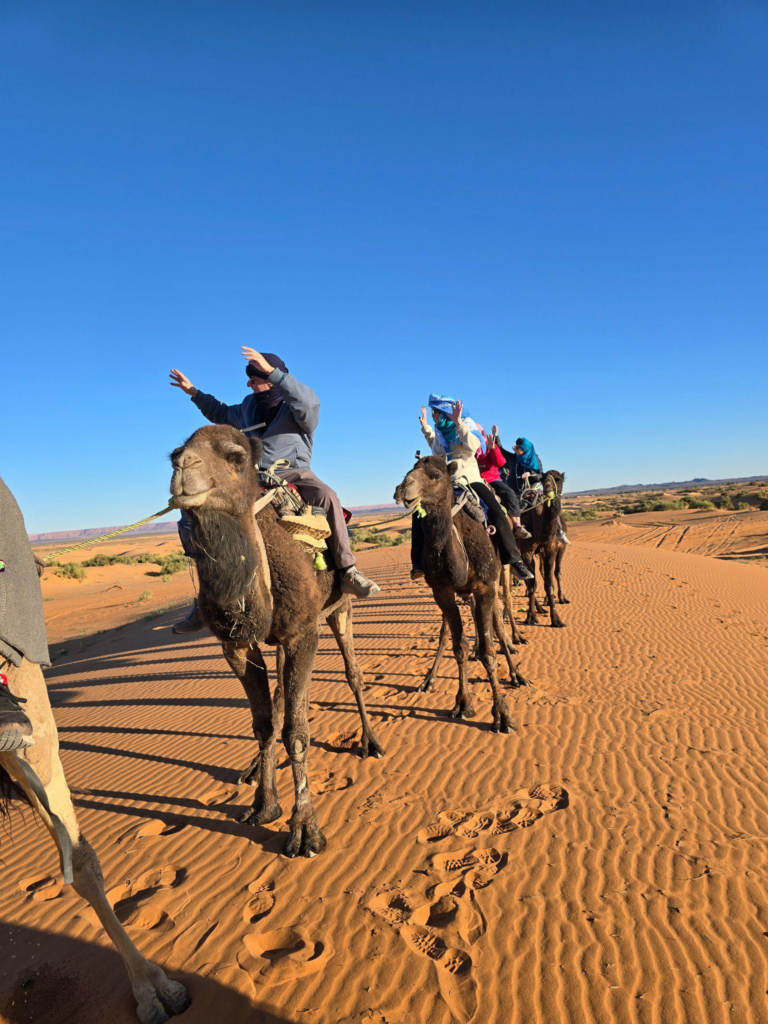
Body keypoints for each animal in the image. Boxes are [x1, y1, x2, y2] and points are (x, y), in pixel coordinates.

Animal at [170, 425, 383, 858]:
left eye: (235, 457)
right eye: (174, 453)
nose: (183, 467)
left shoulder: (303, 632)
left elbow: (296, 734)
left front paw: (305, 831)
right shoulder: (237, 646)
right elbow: (265, 723)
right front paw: (263, 805)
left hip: (338, 607)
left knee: (352, 673)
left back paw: (370, 741)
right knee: (282, 696)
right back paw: (253, 770)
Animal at [394, 457, 528, 731]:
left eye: (435, 476)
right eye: (408, 472)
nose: (403, 488)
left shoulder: (485, 586)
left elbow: (489, 650)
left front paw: (503, 714)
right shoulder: (442, 591)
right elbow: (458, 646)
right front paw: (463, 703)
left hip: (502, 572)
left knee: (501, 616)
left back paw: (515, 671)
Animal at [518, 469, 569, 628]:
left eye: (558, 479)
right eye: (543, 479)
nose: (547, 488)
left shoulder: (550, 549)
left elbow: (549, 583)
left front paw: (556, 619)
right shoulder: (526, 552)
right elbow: (532, 583)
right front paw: (530, 617)